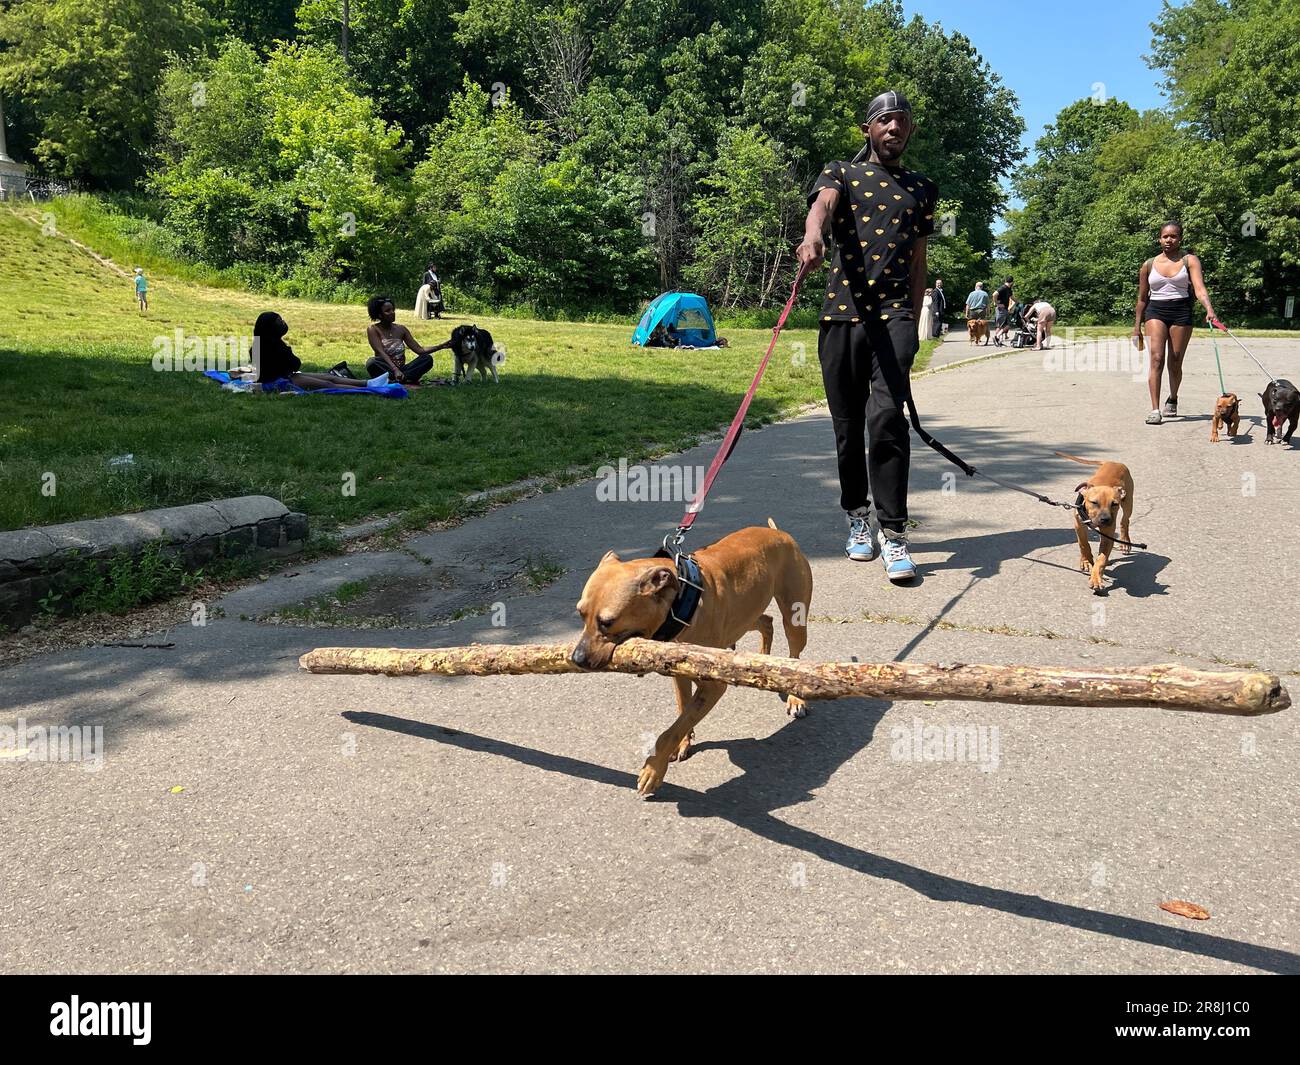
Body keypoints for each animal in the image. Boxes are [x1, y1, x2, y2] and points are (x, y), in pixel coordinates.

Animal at [572, 520, 811, 795]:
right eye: (580, 614)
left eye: (607, 622)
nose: (576, 658)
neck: (681, 602)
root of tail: (778, 533)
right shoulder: (679, 672)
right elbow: (683, 711)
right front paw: (683, 743)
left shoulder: (713, 687)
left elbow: (672, 728)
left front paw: (654, 769)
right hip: (745, 617)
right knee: (766, 622)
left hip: (794, 617)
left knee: (795, 652)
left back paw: (795, 697)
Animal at [1055, 455, 1138, 595]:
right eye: (1094, 502)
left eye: (1114, 504)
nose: (1105, 519)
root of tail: (1114, 462)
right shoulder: (1078, 524)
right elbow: (1083, 544)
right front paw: (1086, 562)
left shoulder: (1108, 534)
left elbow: (1101, 559)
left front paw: (1096, 579)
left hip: (1128, 502)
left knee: (1124, 521)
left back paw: (1125, 542)